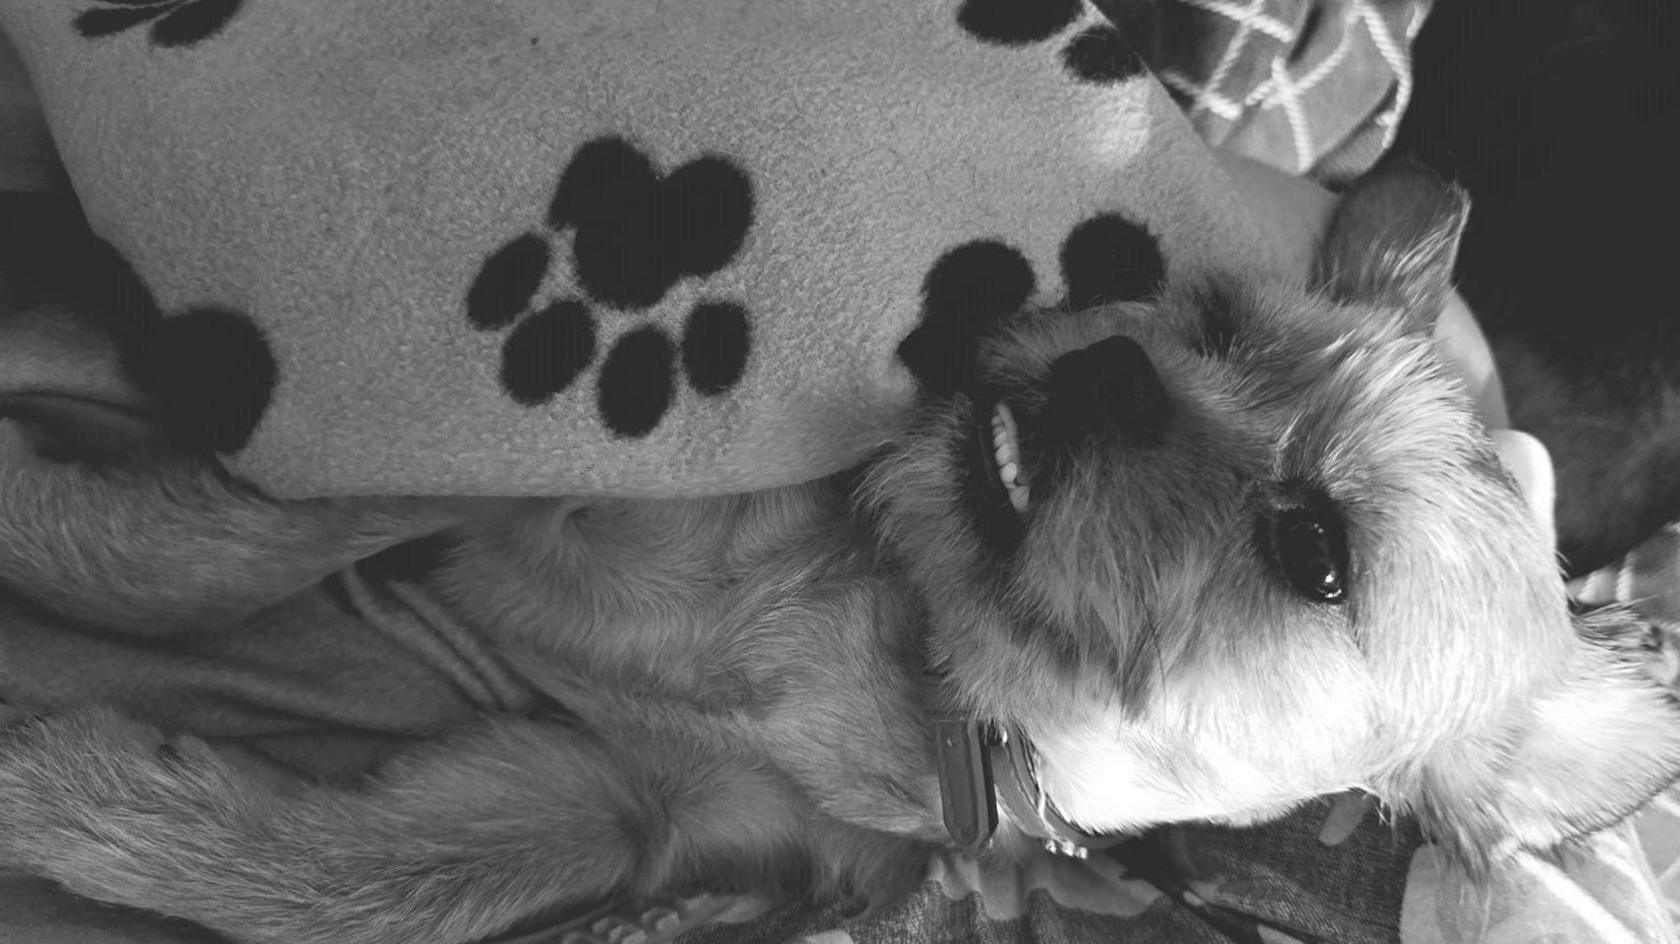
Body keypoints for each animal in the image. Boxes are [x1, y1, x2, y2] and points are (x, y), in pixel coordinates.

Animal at [3, 168, 1680, 940]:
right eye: (1209, 324)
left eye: (1315, 550)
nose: (1108, 372)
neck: (898, 657)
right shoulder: (523, 490)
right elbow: (218, 542)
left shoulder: (623, 807)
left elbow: (388, 880)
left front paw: (79, 794)